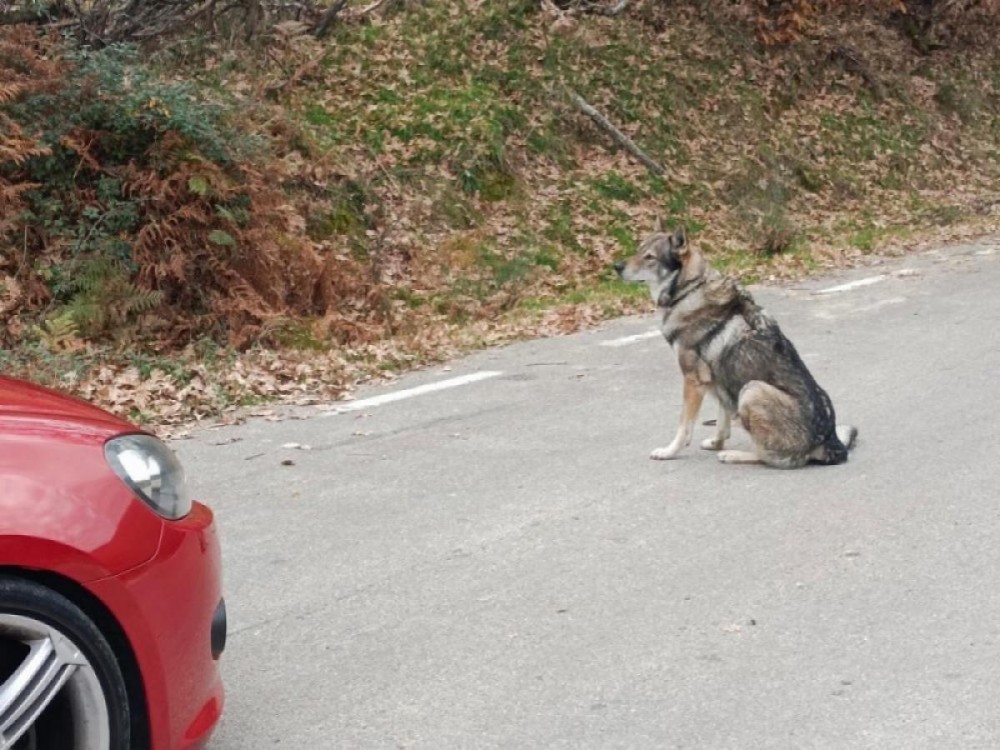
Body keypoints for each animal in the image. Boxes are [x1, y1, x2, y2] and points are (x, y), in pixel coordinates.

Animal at [614, 220, 857, 468]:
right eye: (638, 249)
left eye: (650, 257)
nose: (616, 266)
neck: (690, 289)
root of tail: (829, 443)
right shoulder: (719, 379)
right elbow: (722, 423)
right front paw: (716, 443)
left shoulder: (693, 381)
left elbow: (684, 427)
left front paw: (669, 451)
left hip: (751, 390)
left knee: (769, 457)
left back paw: (733, 455)